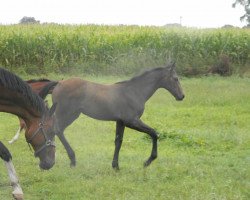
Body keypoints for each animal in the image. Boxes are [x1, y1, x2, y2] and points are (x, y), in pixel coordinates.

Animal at [51, 62, 184, 169]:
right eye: (176, 78)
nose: (182, 96)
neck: (135, 92)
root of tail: (59, 83)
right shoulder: (132, 121)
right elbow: (154, 133)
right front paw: (148, 161)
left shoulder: (120, 122)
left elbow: (118, 141)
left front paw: (115, 166)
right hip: (67, 113)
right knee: (57, 130)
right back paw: (71, 160)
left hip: (71, 114)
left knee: (56, 130)